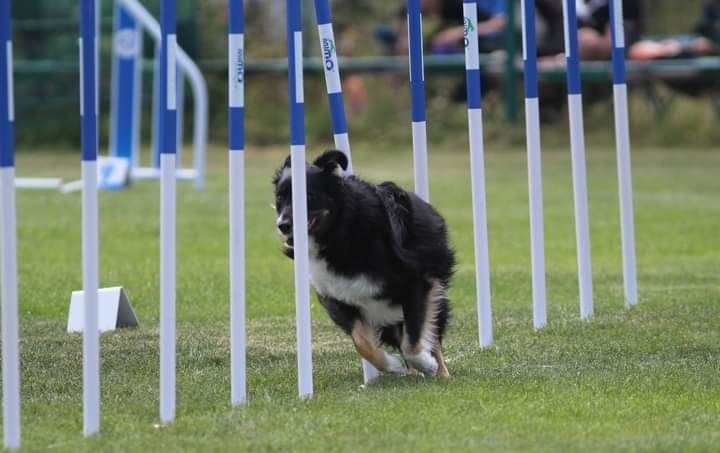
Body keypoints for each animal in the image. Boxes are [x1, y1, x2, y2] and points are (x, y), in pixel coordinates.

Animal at [272, 150, 452, 376]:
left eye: (307, 197)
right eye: (279, 197)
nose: (283, 225)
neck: (340, 232)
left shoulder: (416, 281)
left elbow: (412, 341)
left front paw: (427, 364)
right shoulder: (337, 296)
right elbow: (362, 342)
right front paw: (392, 365)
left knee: (430, 333)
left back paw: (439, 372)